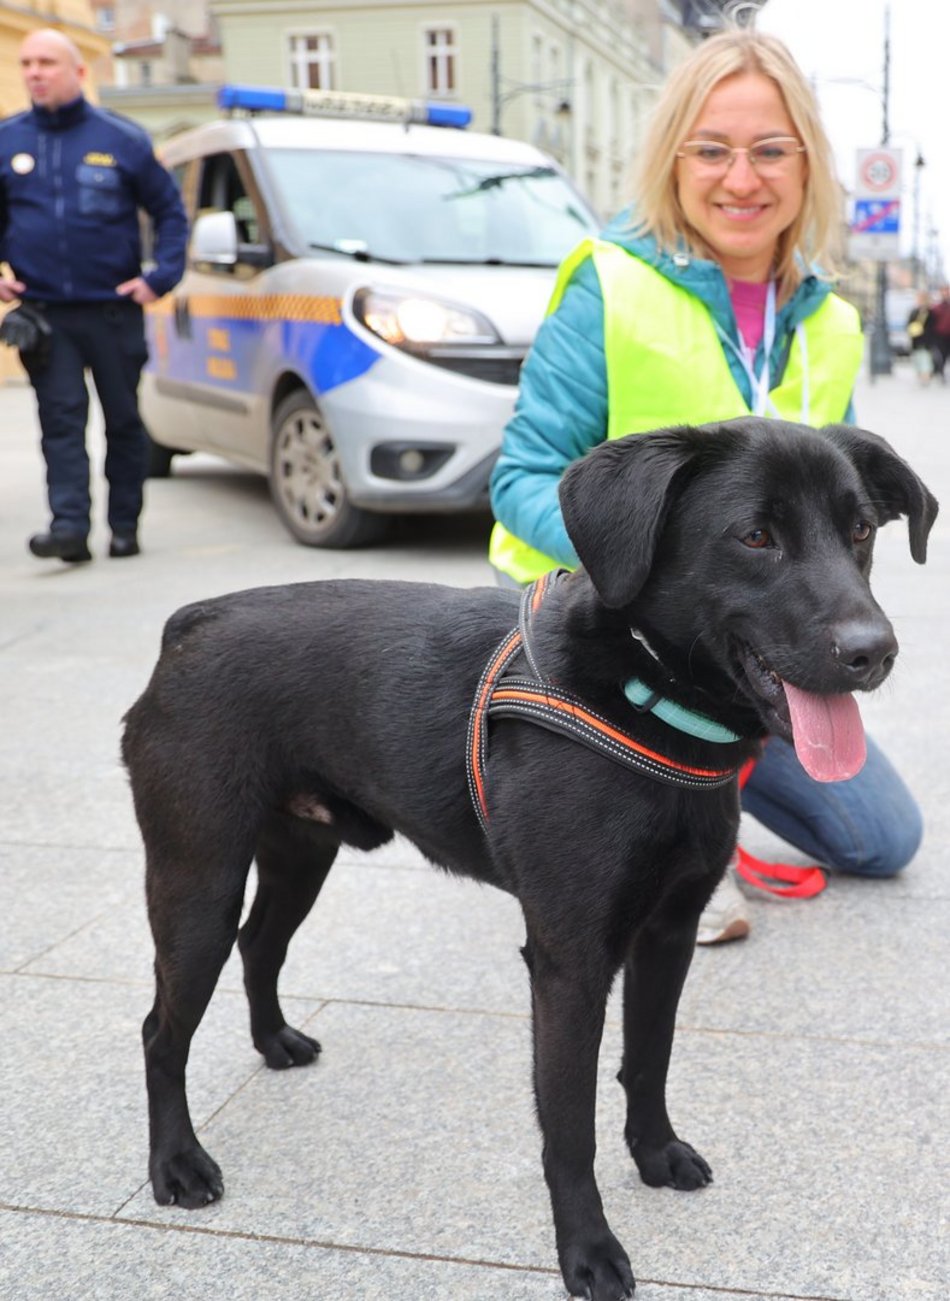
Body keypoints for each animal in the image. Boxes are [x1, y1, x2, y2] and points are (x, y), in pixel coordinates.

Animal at [124, 421, 931, 1295]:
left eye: (861, 529)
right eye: (755, 536)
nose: (875, 651)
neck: (645, 696)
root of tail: (191, 623)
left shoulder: (669, 935)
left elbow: (649, 1059)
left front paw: (655, 1154)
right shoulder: (569, 962)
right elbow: (569, 1125)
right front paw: (589, 1250)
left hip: (302, 852)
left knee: (260, 945)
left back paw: (275, 1042)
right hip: (198, 882)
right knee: (162, 1029)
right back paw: (177, 1162)